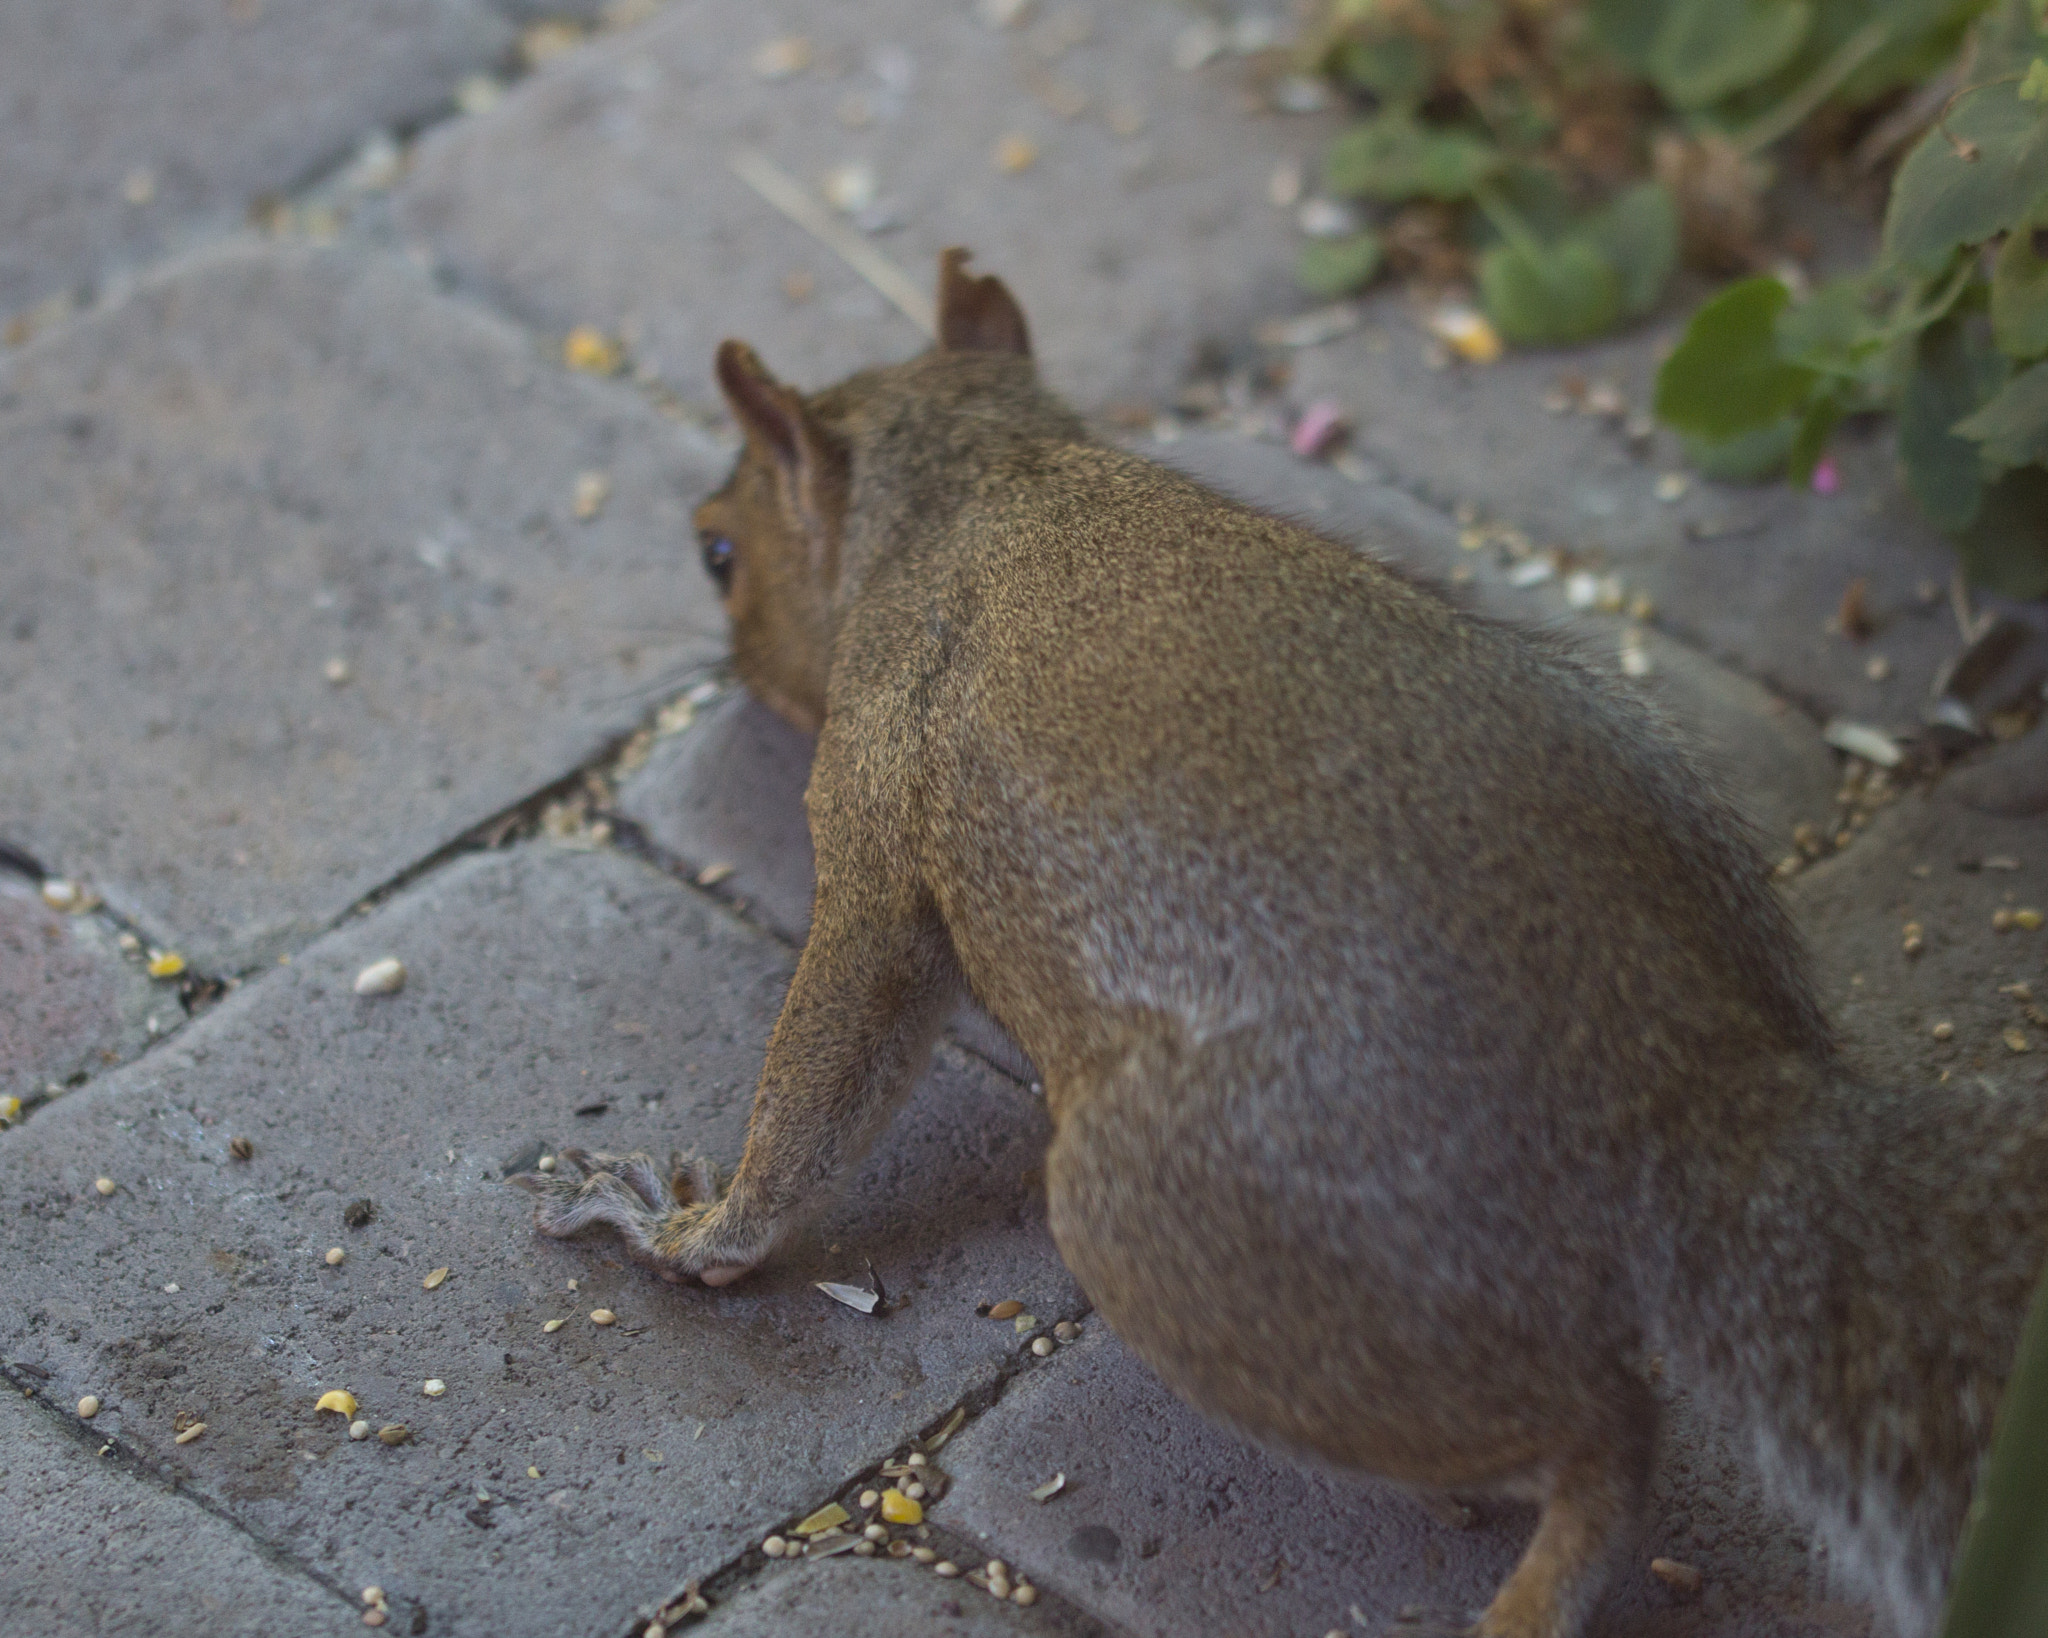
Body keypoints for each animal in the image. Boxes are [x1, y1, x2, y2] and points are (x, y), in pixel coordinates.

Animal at [513, 249, 2048, 1638]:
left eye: (719, 554)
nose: (729, 675)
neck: (981, 483)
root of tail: (1693, 1095)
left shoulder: (879, 796)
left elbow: (827, 1057)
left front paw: (688, 1229)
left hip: (1170, 1226)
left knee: (1601, 1444)